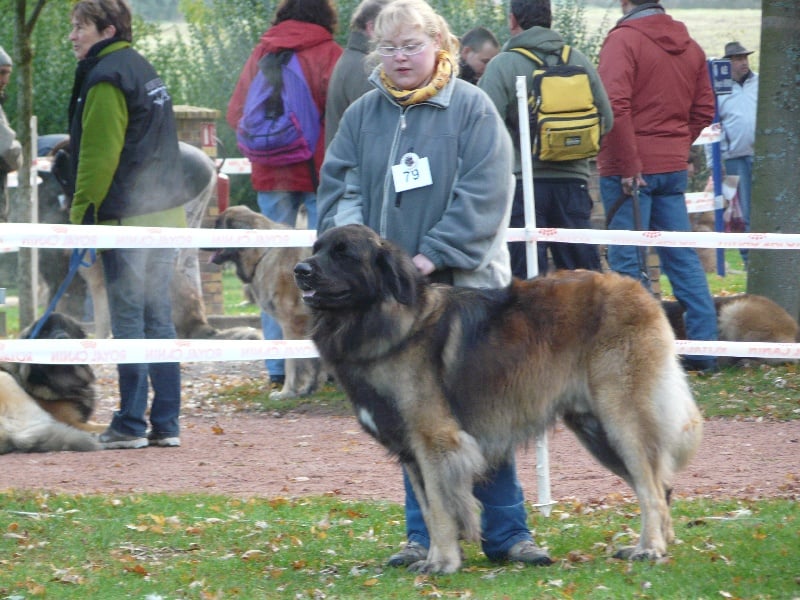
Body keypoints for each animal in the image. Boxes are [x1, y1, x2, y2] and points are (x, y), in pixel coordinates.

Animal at [206, 206, 324, 398]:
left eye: (217, 225)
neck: (262, 252)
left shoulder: (293, 323)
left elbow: (293, 363)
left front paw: (288, 392)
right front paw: (308, 388)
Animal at [296, 227, 704, 576]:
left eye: (344, 254)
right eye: (317, 248)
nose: (300, 270)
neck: (388, 320)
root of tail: (637, 289)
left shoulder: (435, 441)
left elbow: (441, 508)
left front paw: (441, 563)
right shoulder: (412, 452)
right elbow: (428, 509)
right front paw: (434, 557)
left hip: (622, 420)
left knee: (651, 488)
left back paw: (649, 548)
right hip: (596, 429)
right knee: (659, 483)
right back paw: (659, 542)